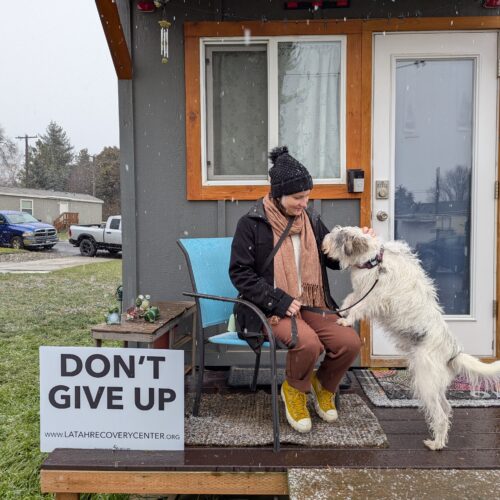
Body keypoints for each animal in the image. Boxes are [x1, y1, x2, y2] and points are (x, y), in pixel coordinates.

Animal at [320, 225, 500, 452]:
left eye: (338, 236)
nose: (324, 240)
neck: (374, 261)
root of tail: (453, 352)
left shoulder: (373, 297)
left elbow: (358, 307)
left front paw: (345, 321)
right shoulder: (361, 292)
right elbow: (350, 300)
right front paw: (342, 312)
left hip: (426, 381)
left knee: (440, 414)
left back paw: (436, 443)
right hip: (435, 384)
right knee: (446, 407)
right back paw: (440, 438)